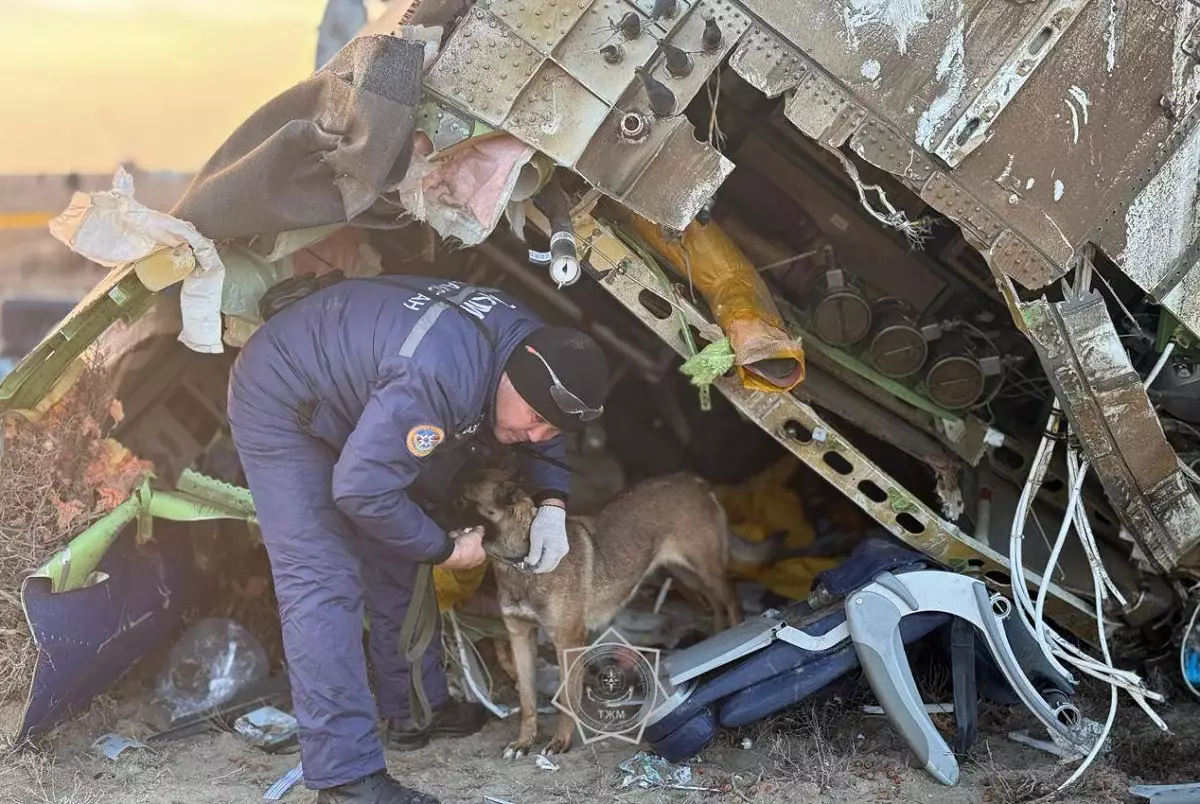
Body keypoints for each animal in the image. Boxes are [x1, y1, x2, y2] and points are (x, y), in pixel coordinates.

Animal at [458, 470, 739, 758]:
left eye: (462, 501)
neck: (521, 562)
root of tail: (693, 480)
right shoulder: (520, 636)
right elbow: (527, 700)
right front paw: (524, 742)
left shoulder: (568, 641)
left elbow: (568, 697)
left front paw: (561, 741)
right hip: (685, 573)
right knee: (715, 605)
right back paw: (717, 638)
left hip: (706, 570)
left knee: (731, 600)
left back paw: (737, 636)